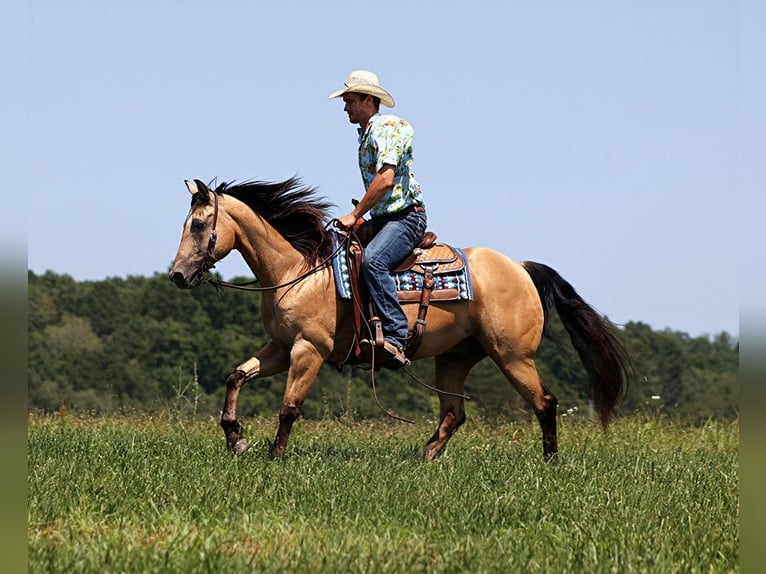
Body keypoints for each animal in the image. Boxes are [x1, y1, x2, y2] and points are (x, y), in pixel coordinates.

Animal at [168, 178, 632, 462]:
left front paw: (274, 456)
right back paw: (422, 459)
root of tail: (520, 267)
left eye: (199, 225)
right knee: (453, 413)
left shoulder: (308, 350)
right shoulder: (281, 348)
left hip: (514, 356)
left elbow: (289, 406)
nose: (177, 275)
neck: (299, 271)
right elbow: (235, 376)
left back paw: (550, 463)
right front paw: (236, 437)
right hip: (456, 358)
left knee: (544, 402)